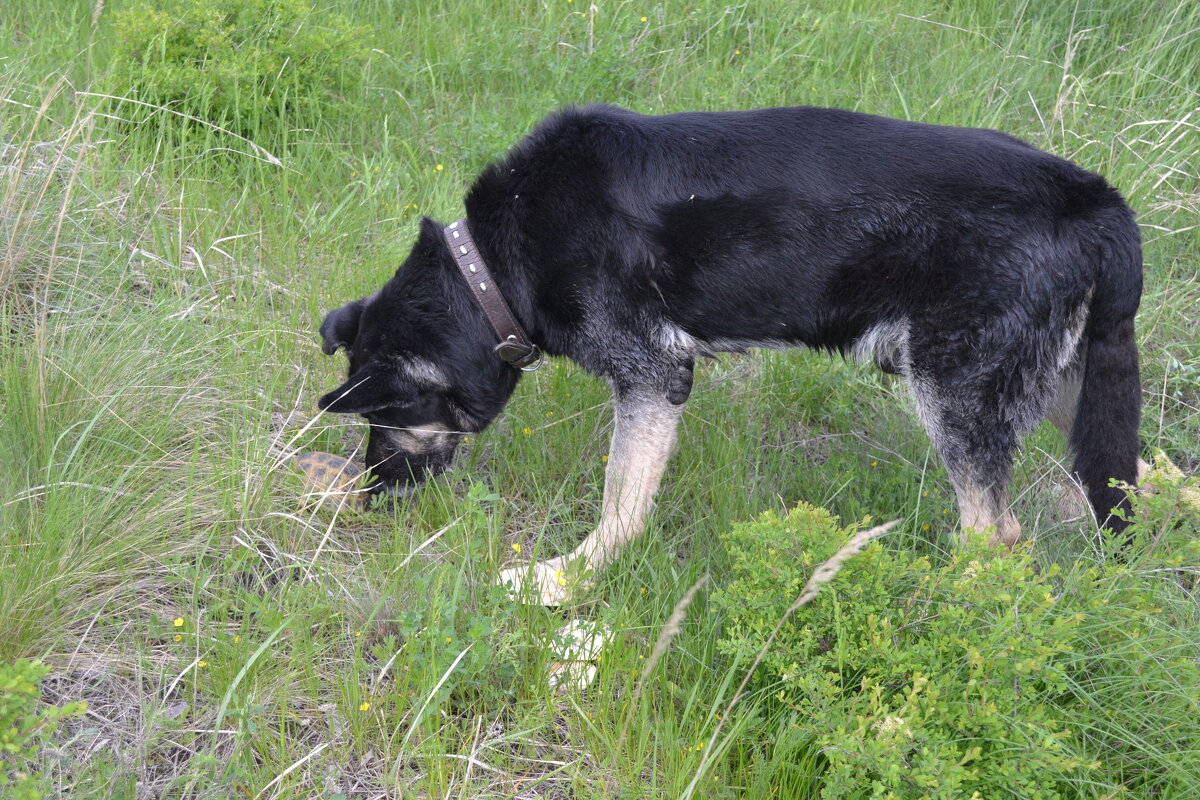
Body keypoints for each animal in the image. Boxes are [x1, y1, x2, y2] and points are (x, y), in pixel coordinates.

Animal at [319, 107, 1142, 606]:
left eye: (385, 423)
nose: (370, 503)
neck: (487, 268)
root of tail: (1100, 202)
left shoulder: (653, 378)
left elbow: (621, 502)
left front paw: (568, 582)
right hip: (1067, 387)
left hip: (957, 394)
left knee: (995, 535)